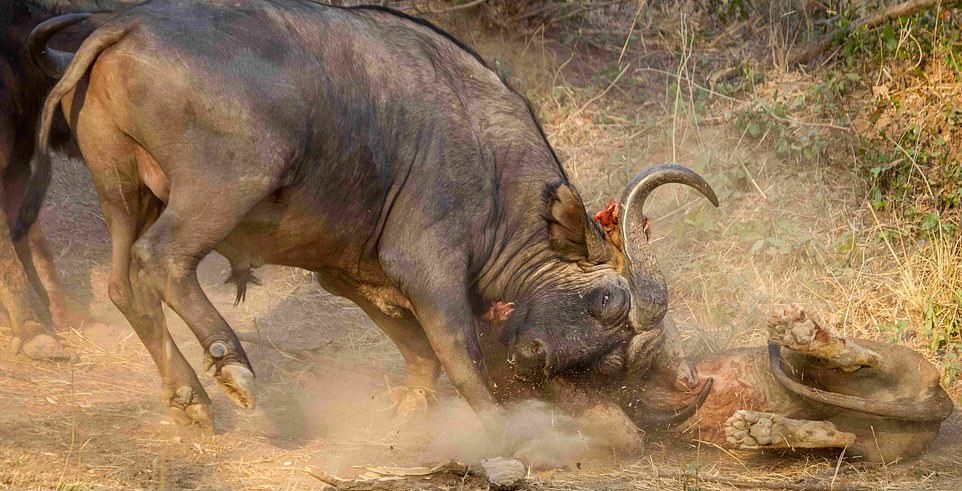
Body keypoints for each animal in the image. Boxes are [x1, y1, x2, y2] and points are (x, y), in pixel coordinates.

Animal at [20, 0, 720, 430]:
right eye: (605, 301)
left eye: (610, 364)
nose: (534, 358)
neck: (492, 168)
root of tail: (128, 28)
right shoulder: (429, 265)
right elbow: (458, 351)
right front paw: (501, 430)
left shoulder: (351, 274)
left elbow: (419, 350)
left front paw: (412, 407)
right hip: (229, 182)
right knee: (161, 260)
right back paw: (232, 364)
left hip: (122, 194)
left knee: (123, 283)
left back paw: (189, 396)